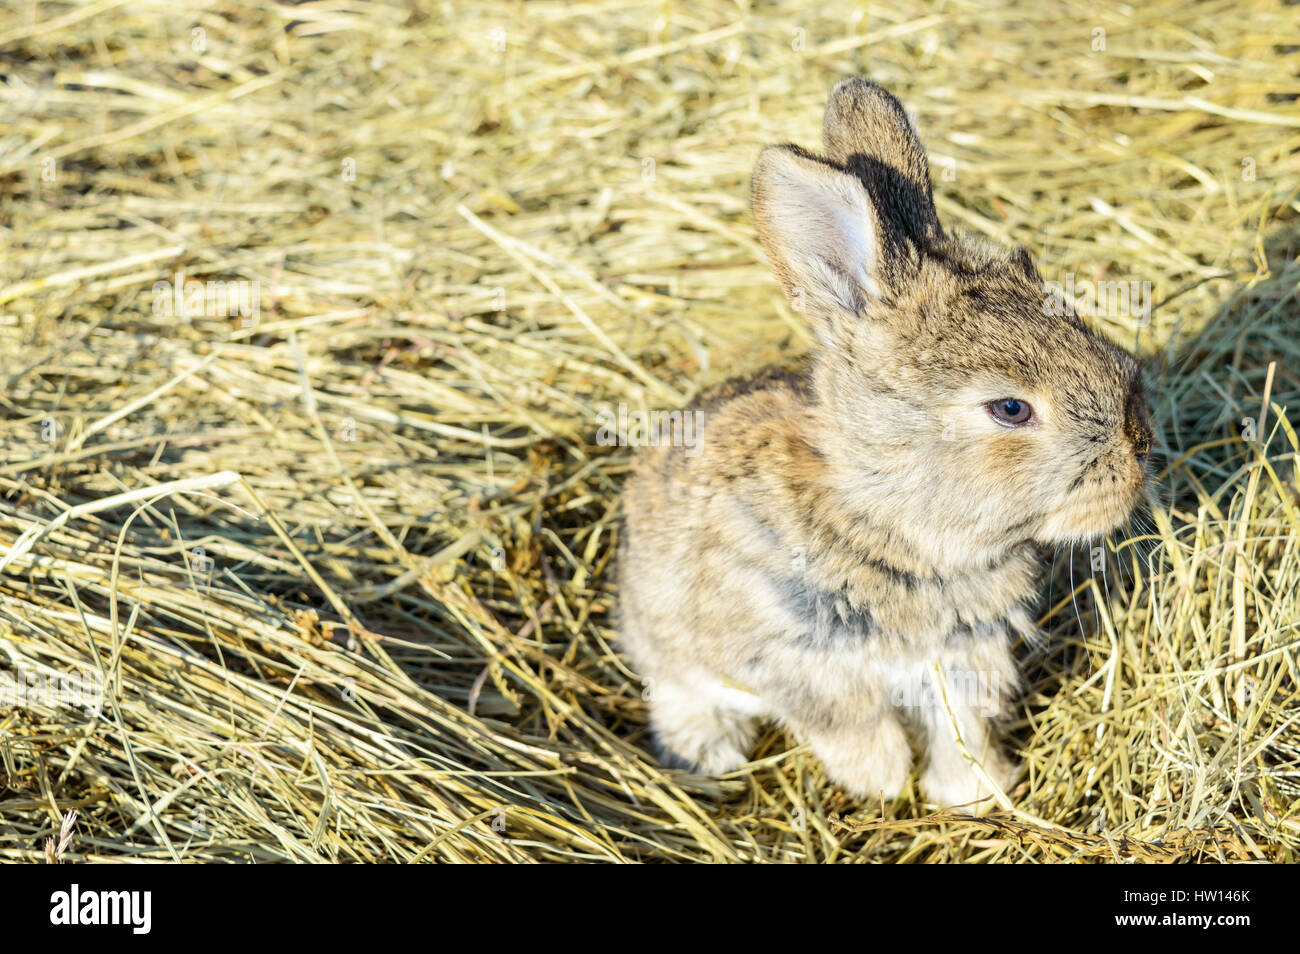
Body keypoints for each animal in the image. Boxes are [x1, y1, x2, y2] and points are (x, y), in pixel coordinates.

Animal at [616, 78, 1152, 810]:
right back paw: (709, 756)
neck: (884, 516)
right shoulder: (794, 659)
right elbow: (852, 726)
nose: (1140, 449)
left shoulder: (961, 660)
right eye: (1010, 409)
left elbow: (962, 730)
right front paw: (882, 781)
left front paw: (974, 792)